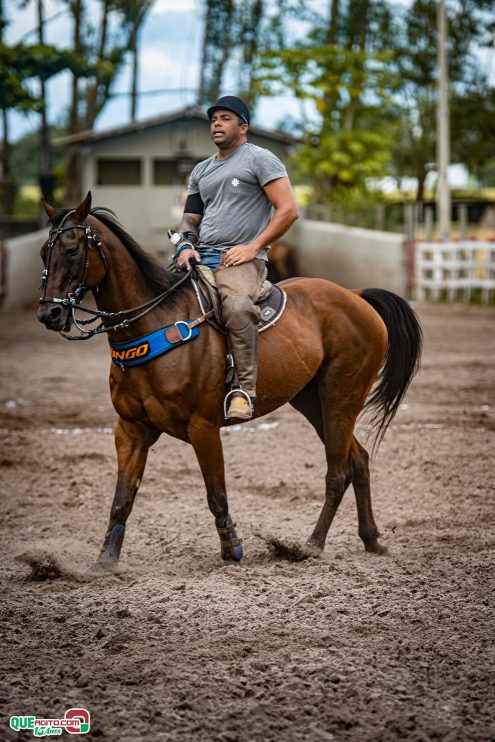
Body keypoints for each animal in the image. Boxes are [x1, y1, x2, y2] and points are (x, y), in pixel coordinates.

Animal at [36, 196, 422, 568]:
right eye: (43, 252)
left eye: (72, 250)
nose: (49, 313)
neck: (153, 325)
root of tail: (355, 295)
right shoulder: (130, 430)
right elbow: (122, 499)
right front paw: (105, 560)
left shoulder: (203, 427)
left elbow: (216, 494)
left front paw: (232, 548)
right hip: (313, 402)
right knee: (359, 460)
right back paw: (370, 539)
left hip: (341, 397)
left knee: (338, 471)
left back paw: (311, 545)